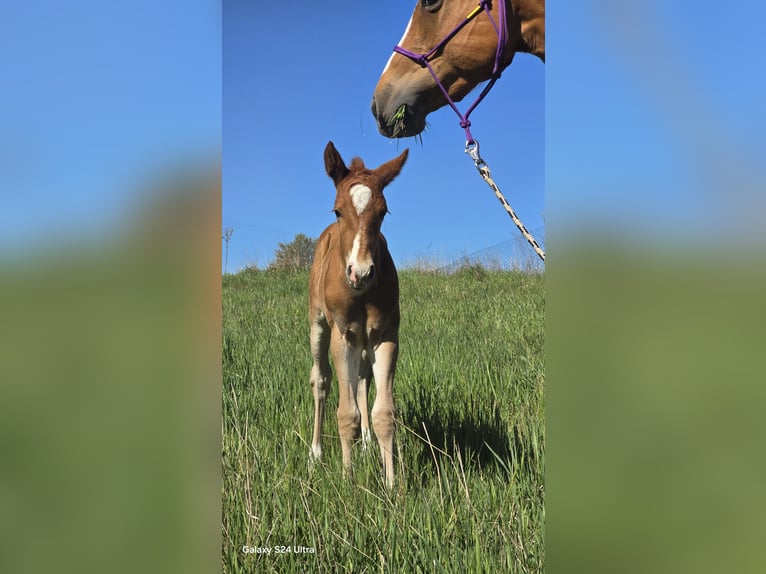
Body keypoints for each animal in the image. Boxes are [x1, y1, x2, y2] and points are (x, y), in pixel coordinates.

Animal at [308, 141, 409, 488]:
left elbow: (384, 413)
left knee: (363, 380)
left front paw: (392, 485)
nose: (361, 272)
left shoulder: (385, 336)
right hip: (318, 324)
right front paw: (348, 480)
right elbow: (345, 413)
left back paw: (366, 443)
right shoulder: (345, 336)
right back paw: (315, 453)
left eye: (383, 212)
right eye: (338, 211)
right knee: (321, 380)